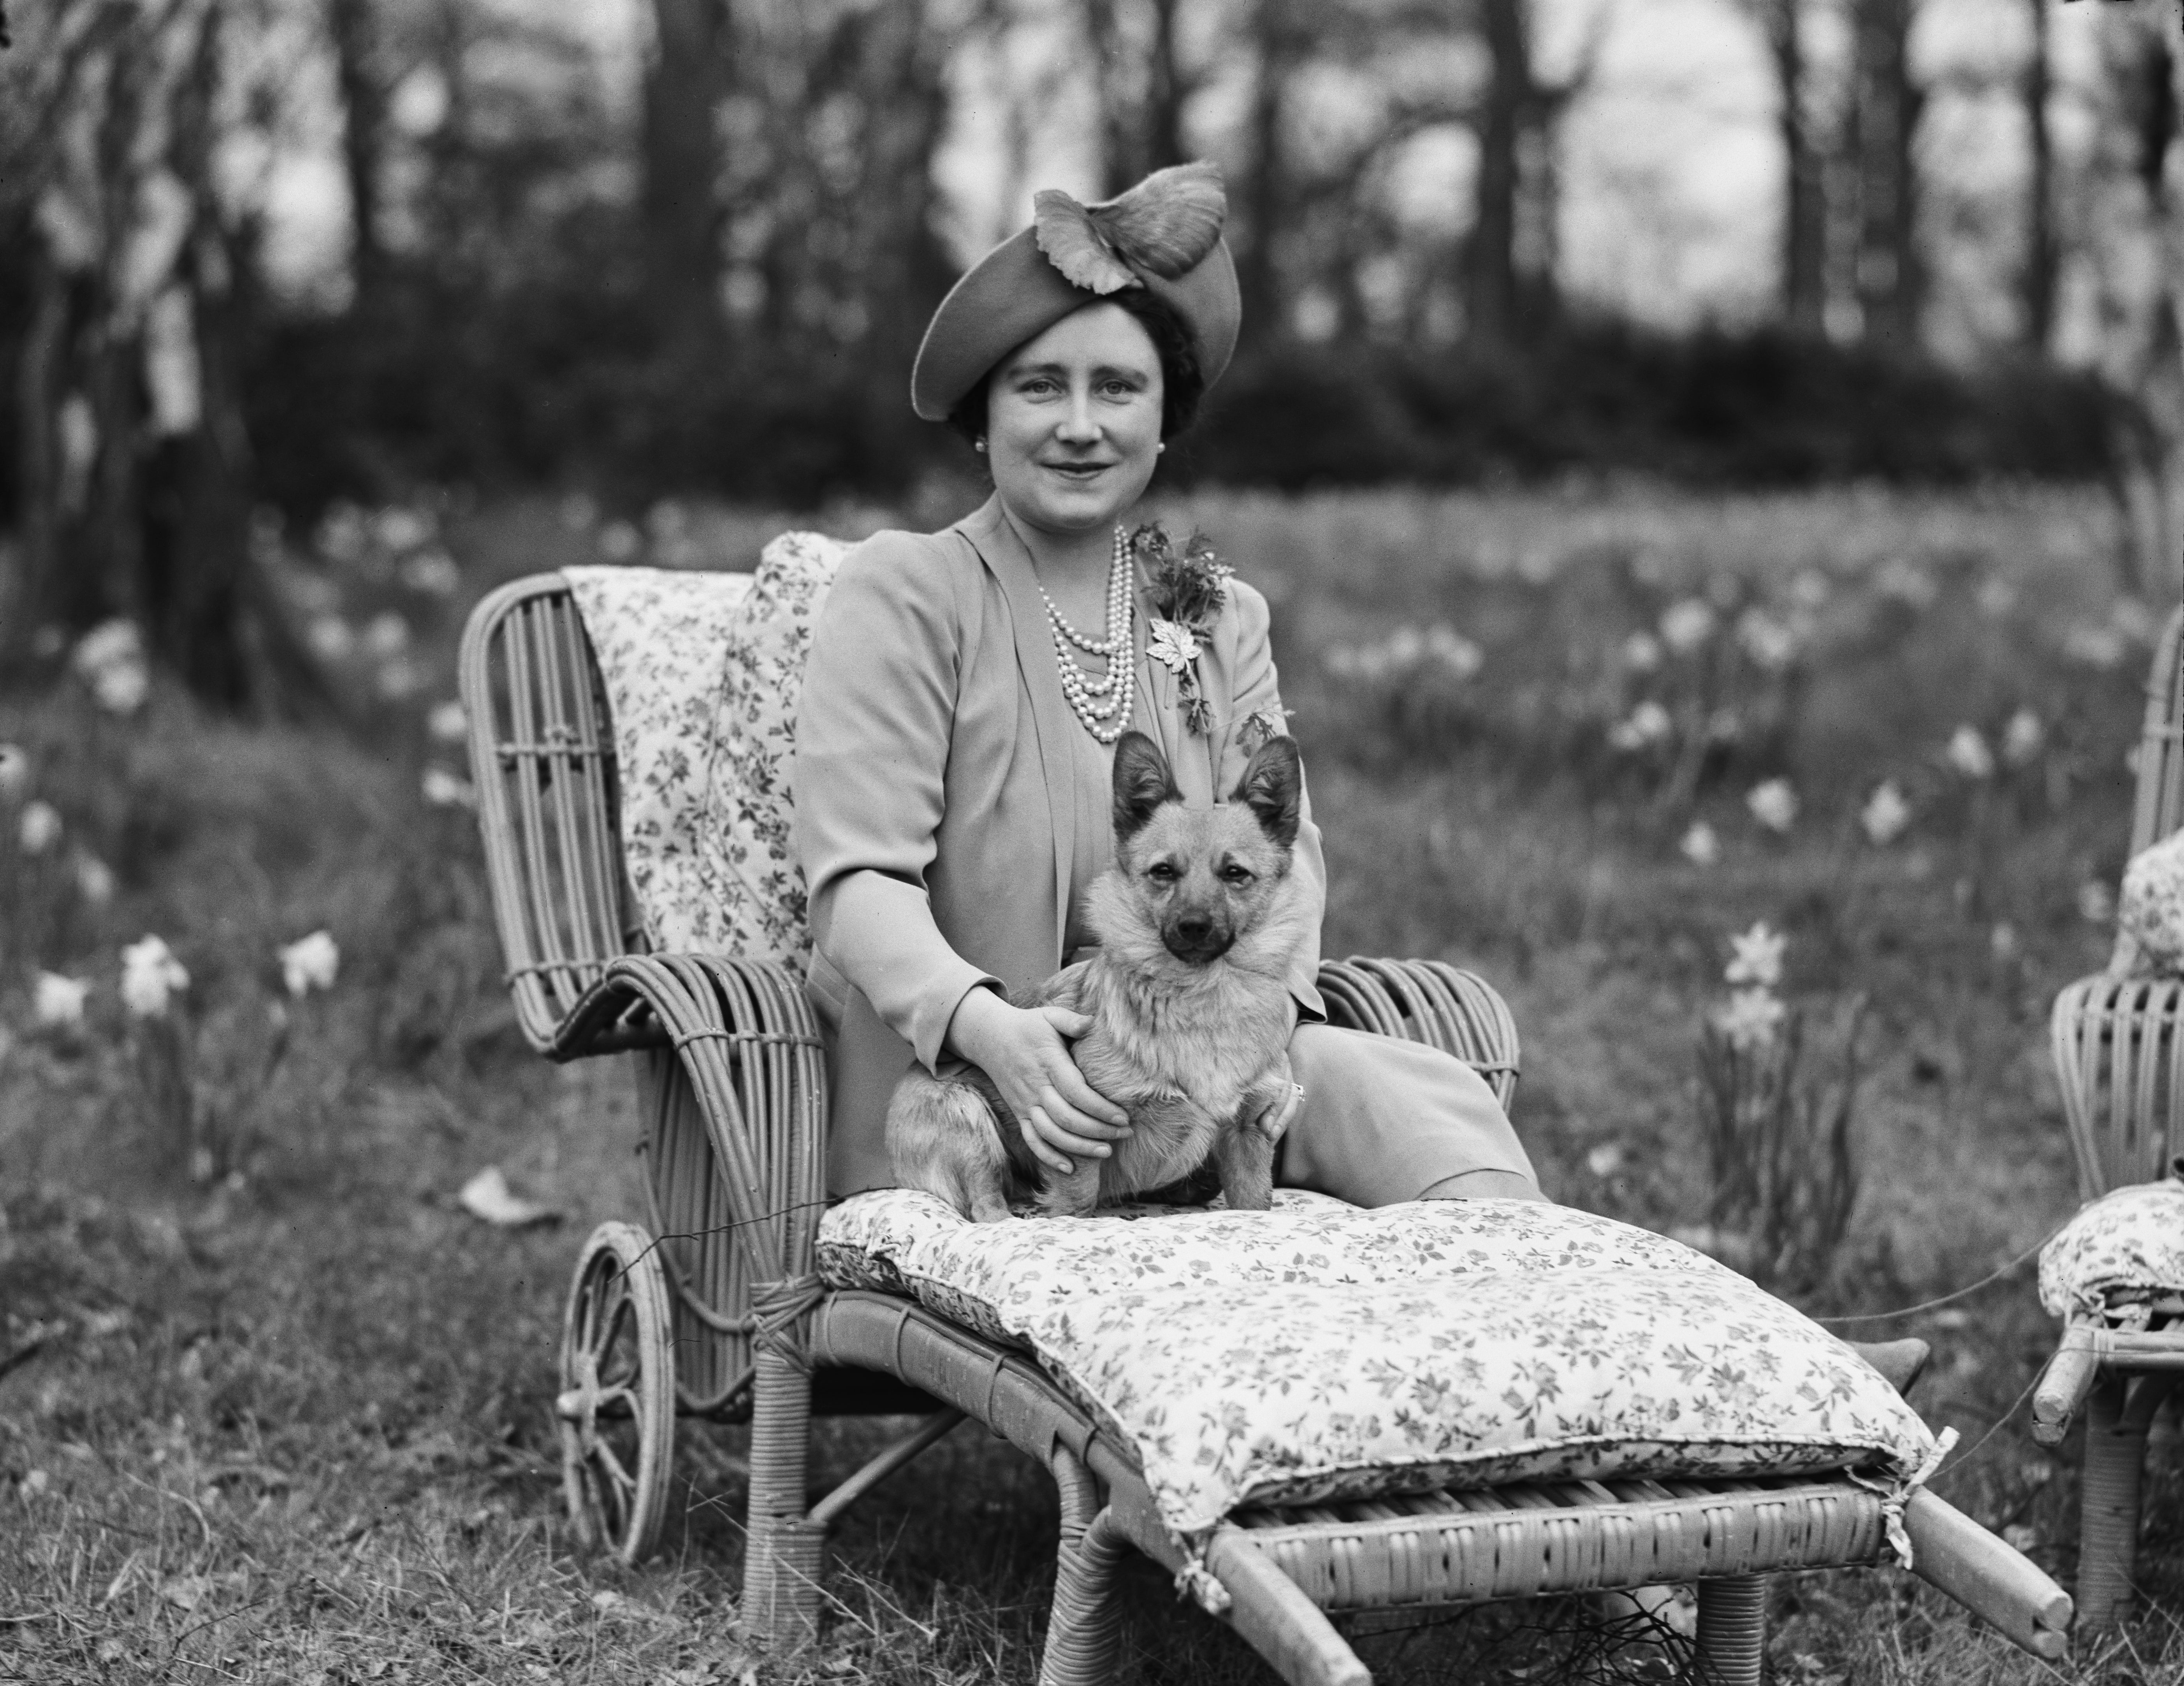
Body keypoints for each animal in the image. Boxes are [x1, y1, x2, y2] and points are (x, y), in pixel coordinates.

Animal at [882, 729, 1301, 1223]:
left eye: (1235, 873)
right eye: (1163, 871)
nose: (1193, 926)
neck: (1200, 993)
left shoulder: (1248, 1135)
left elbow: (1254, 1205)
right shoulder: (1080, 1136)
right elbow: (1076, 1205)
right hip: (967, 1117)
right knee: (986, 1208)